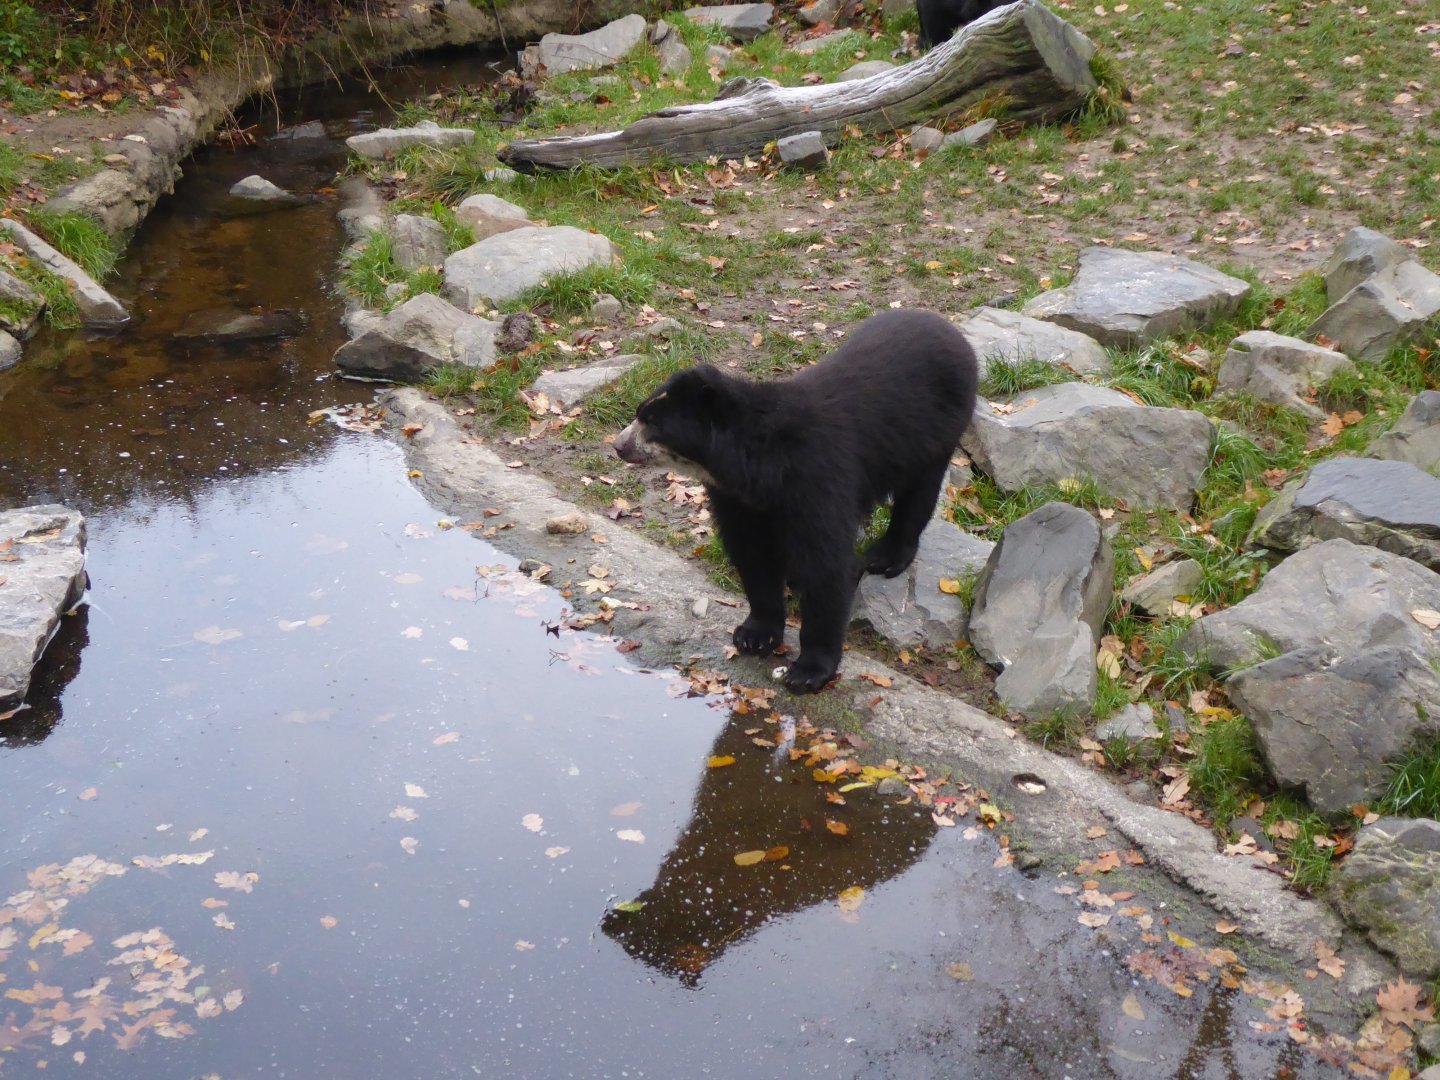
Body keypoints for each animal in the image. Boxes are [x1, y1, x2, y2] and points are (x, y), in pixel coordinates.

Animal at [613, 309, 978, 694]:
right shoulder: (737, 497)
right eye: (640, 412)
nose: (618, 445)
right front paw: (755, 634)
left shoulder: (816, 479)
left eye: (653, 424)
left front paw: (807, 670)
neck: (757, 466)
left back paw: (886, 557)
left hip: (937, 429)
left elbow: (826, 563)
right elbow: (752, 552)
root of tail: (950, 329)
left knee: (919, 494)